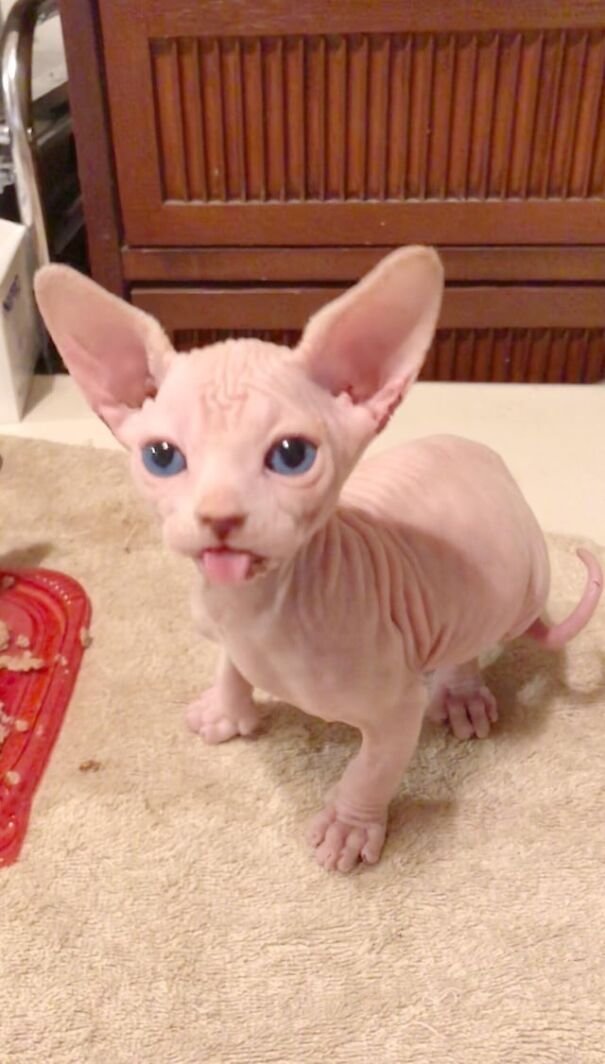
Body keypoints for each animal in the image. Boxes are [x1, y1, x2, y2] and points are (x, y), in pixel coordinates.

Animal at [35, 248, 599, 872]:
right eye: (162, 456)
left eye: (291, 455)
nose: (219, 517)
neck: (258, 610)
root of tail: (498, 468)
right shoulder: (223, 621)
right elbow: (229, 664)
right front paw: (226, 711)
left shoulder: (395, 707)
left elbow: (371, 770)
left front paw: (350, 826)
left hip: (507, 591)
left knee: (468, 643)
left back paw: (462, 692)